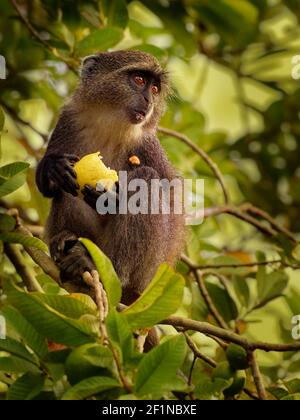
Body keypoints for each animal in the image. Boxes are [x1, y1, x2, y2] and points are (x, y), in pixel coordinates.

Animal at [35, 50, 185, 306]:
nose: (149, 100)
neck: (111, 124)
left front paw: (111, 200)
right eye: (139, 80)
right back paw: (67, 242)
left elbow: (172, 200)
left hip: (148, 271)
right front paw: (51, 167)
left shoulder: (147, 144)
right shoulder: (68, 120)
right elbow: (50, 188)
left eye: (155, 89)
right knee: (67, 190)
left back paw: (99, 266)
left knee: (147, 179)